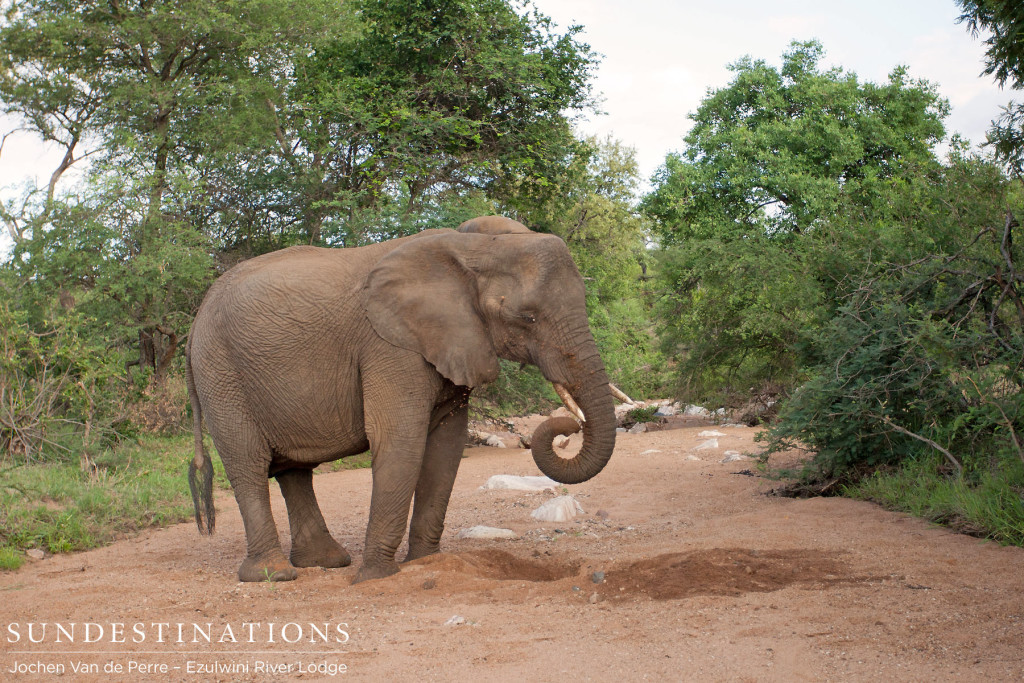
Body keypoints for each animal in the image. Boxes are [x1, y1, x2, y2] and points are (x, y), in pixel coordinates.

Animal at [184, 214, 614, 581]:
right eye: (527, 317)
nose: (568, 427)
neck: (469, 247)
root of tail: (194, 321)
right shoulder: (390, 347)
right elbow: (400, 439)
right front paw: (376, 577)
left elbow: (445, 447)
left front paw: (425, 564)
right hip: (220, 372)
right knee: (249, 463)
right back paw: (273, 575)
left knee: (293, 469)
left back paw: (326, 563)